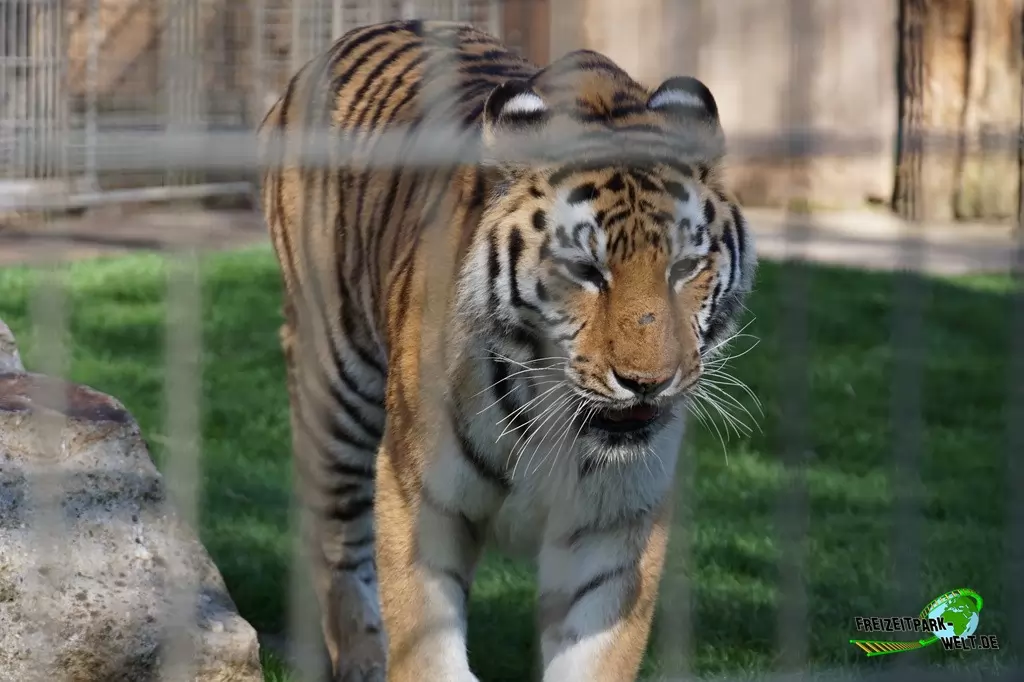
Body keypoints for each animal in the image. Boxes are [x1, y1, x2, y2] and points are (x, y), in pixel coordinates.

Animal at [258, 19, 756, 682]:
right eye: (585, 270)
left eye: (685, 268)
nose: (647, 382)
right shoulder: (419, 495)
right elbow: (426, 647)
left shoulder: (614, 527)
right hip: (337, 380)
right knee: (338, 538)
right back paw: (363, 655)